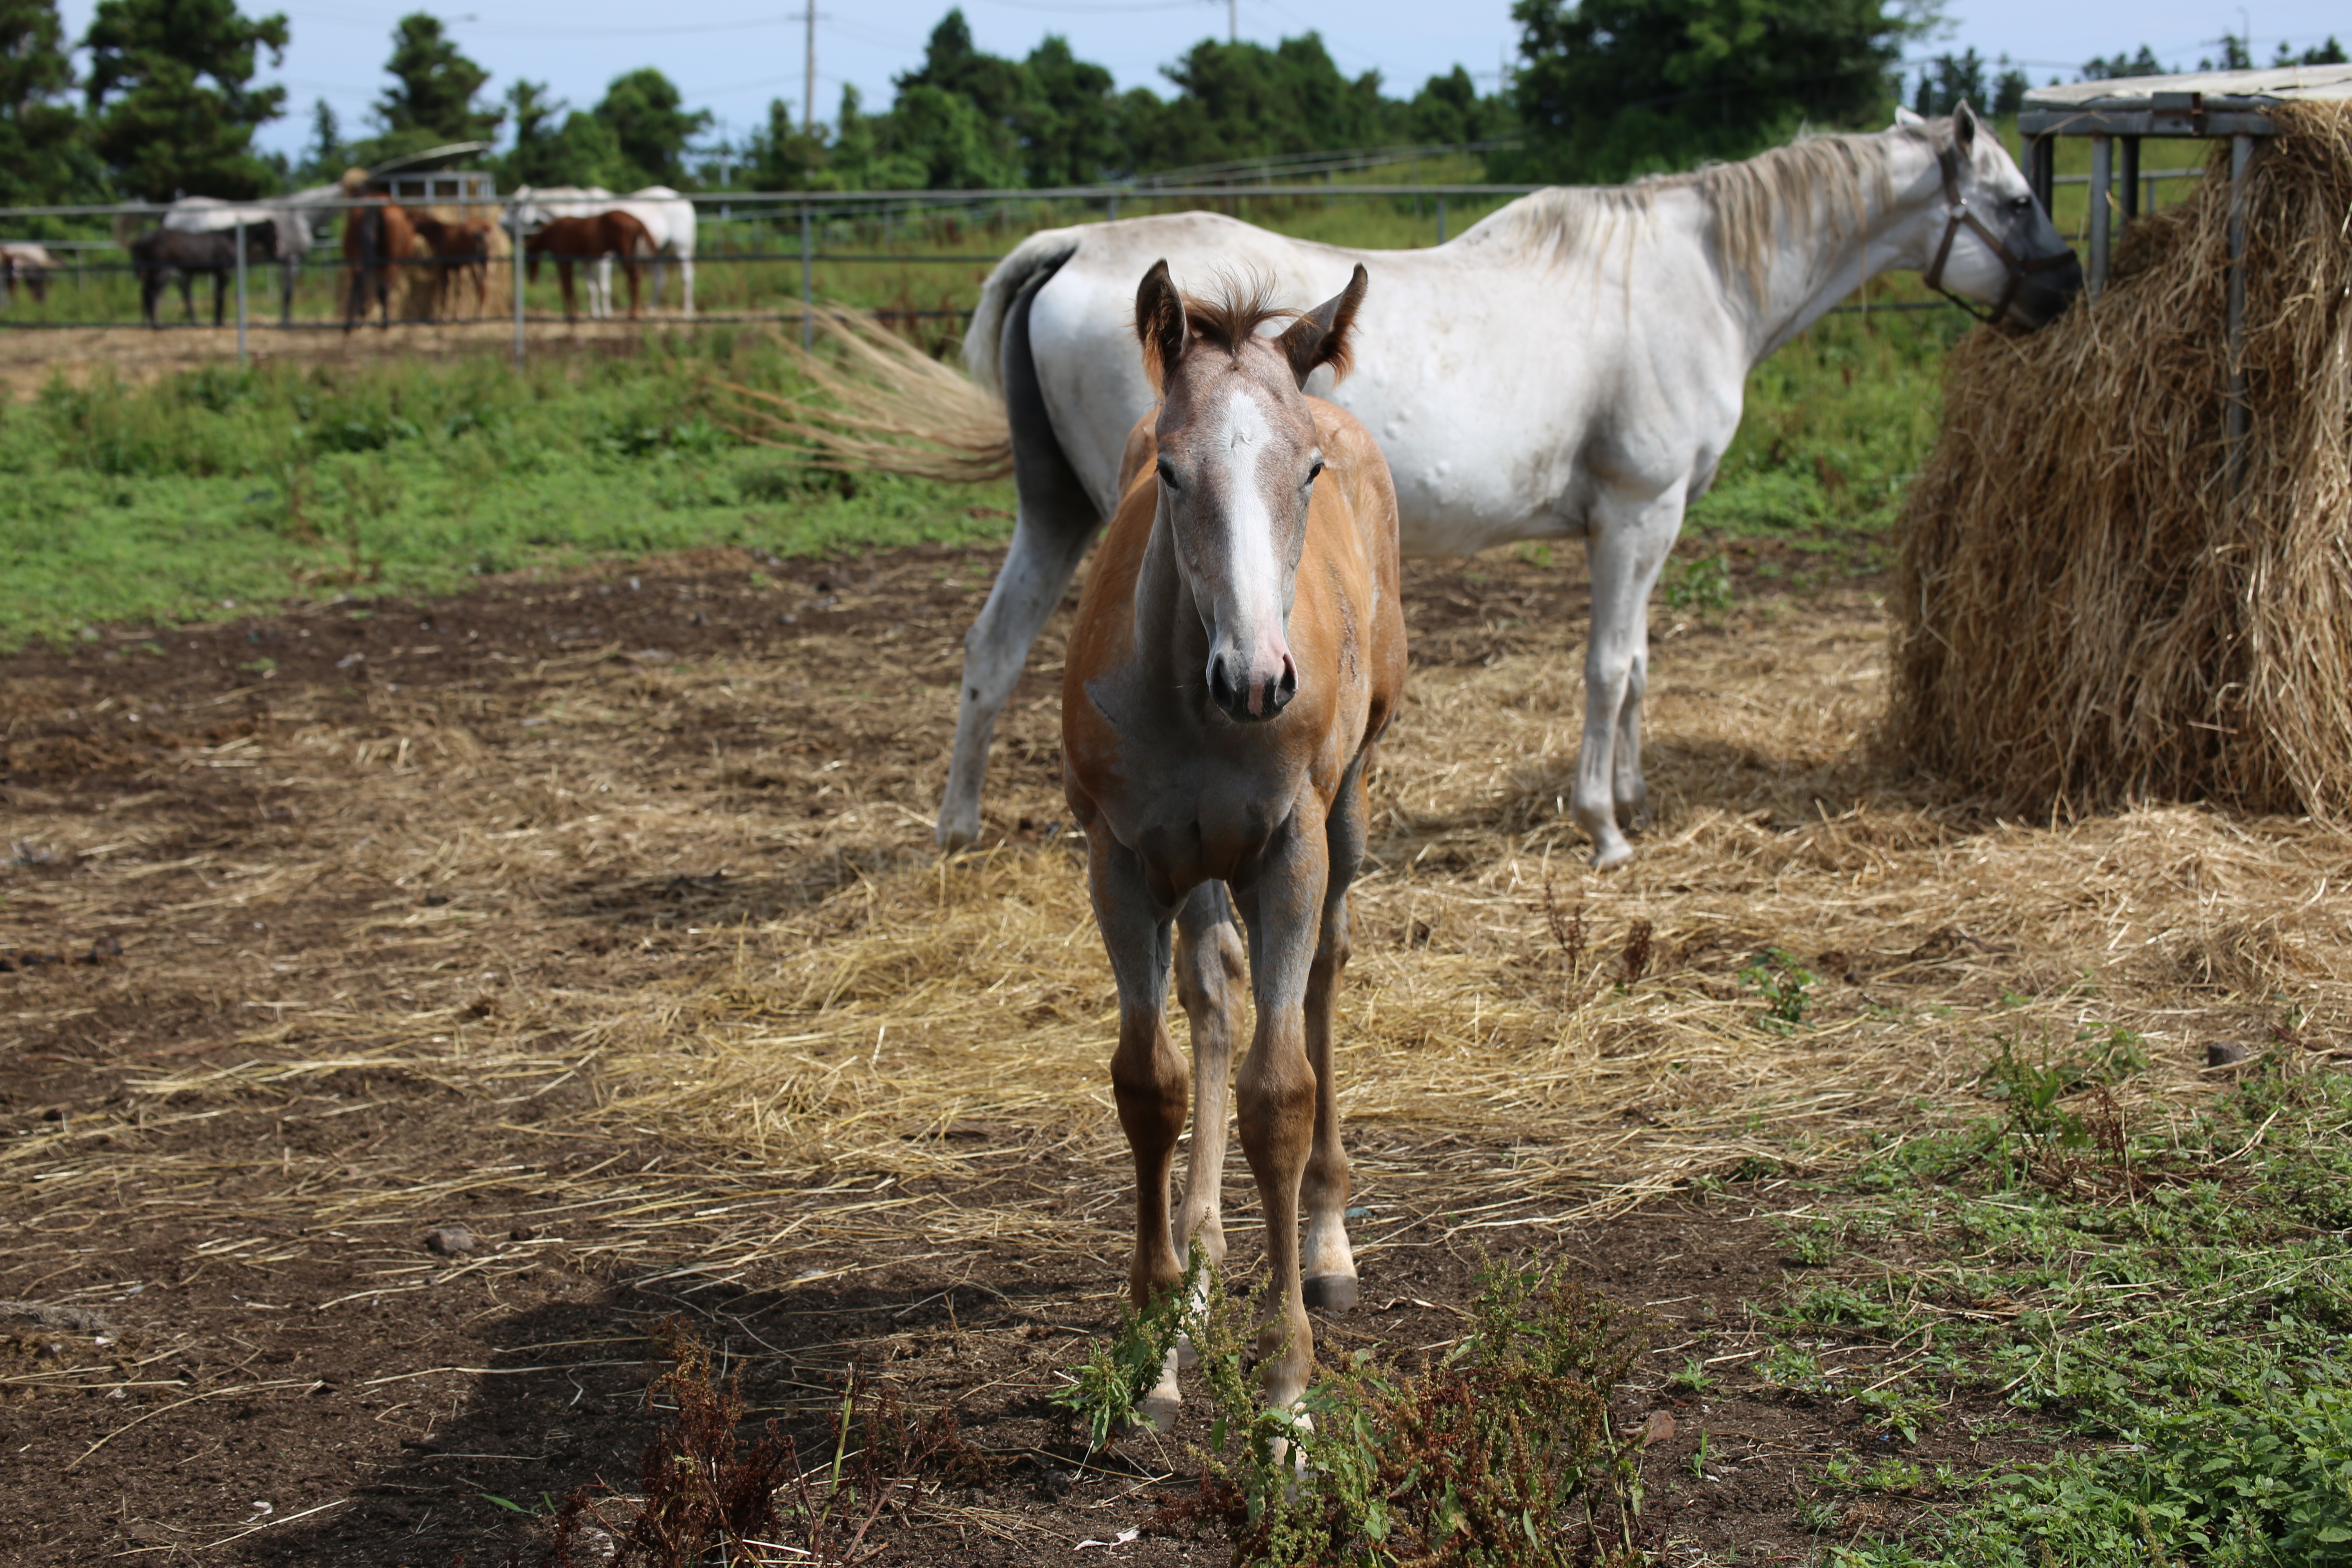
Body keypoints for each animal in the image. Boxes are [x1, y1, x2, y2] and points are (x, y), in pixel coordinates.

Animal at [129, 225, 277, 329]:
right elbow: (220, 296)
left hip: (152, 273)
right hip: (160, 273)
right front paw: (219, 321)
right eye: (273, 234)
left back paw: (148, 323)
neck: (231, 239)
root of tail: (139, 239)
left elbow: (217, 295)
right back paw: (156, 324)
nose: (276, 253)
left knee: (147, 294)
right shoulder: (223, 271)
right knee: (153, 295)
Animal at [527, 212, 654, 322]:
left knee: (633, 277)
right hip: (632, 253)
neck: (552, 232)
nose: (532, 279)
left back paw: (632, 314)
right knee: (636, 275)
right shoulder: (581, 261)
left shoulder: (564, 260)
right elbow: (579, 287)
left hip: (624, 253)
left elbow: (568, 287)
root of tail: (637, 220)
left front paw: (572, 315)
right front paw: (575, 313)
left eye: (528, 261)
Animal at [893, 107, 2079, 870]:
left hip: (1056, 516)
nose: (2067, 287)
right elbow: (1607, 668)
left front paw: (1633, 793)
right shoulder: (1635, 514)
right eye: (2017, 197)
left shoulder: (1649, 525)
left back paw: (957, 832)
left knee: (990, 653)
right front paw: (1604, 828)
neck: (1695, 278)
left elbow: (1638, 667)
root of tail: (1073, 244)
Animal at [1063, 263, 1401, 1439]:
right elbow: (1150, 1082)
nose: (1259, 681)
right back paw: (1200, 1273)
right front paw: (1151, 1330)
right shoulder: (1120, 861)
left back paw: (1330, 1246)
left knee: (1325, 976)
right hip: (1195, 863)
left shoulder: (1287, 854)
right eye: (1169, 471)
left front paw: (1288, 1393)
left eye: (1306, 472)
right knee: (1212, 994)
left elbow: (1279, 1097)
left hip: (1346, 804)